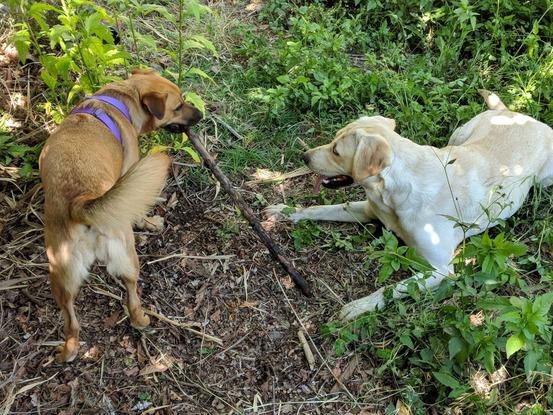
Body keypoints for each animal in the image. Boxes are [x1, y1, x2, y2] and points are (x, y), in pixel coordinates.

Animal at [39, 70, 203, 362]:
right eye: (178, 106)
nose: (201, 115)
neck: (122, 100)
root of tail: (80, 203)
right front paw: (149, 222)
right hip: (127, 255)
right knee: (132, 297)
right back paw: (142, 320)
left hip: (61, 277)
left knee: (72, 324)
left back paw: (67, 352)